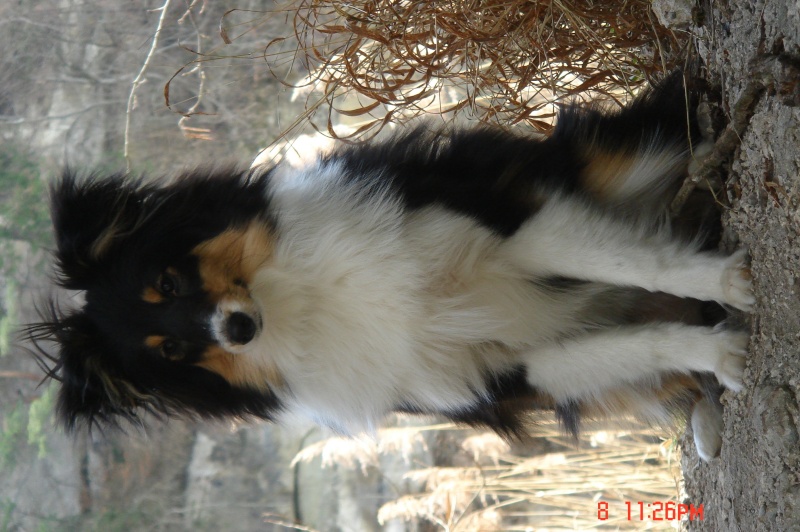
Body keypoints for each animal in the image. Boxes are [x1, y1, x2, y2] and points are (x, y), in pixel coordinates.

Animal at [28, 74, 752, 462]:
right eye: (171, 351)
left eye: (170, 281)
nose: (237, 331)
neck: (301, 302)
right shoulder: (507, 371)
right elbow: (647, 341)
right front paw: (724, 353)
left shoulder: (518, 221)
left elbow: (636, 259)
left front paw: (730, 283)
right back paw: (707, 415)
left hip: (606, 160)